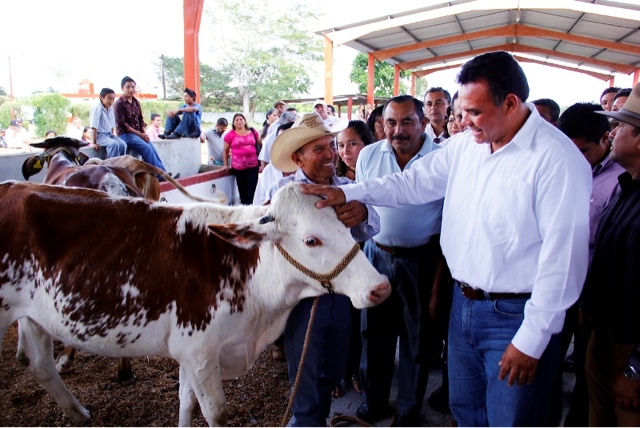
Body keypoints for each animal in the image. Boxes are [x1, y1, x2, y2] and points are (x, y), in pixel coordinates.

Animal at [0, 181, 390, 424]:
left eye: (344, 224)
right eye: (311, 240)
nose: (381, 288)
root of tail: (14, 187)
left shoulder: (190, 352)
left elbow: (186, 401)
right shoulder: (200, 350)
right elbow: (215, 412)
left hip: (35, 317)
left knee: (39, 363)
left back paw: (78, 413)